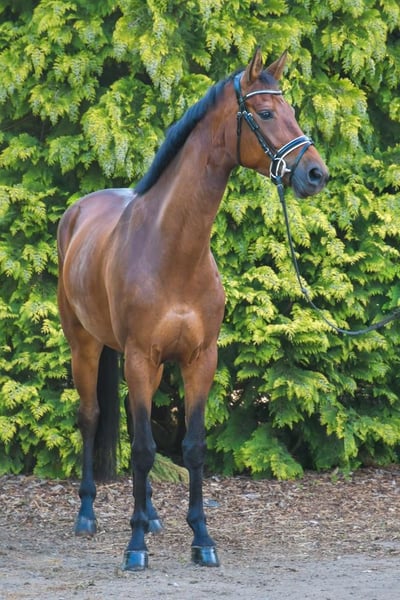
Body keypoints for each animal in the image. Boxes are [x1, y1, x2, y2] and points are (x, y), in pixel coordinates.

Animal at [57, 47, 328, 571]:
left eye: (292, 111)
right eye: (266, 113)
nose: (315, 174)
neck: (172, 250)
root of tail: (76, 213)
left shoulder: (200, 359)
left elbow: (192, 447)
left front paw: (201, 538)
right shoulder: (139, 356)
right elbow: (143, 450)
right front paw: (136, 547)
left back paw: (151, 515)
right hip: (86, 347)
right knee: (92, 416)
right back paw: (87, 515)